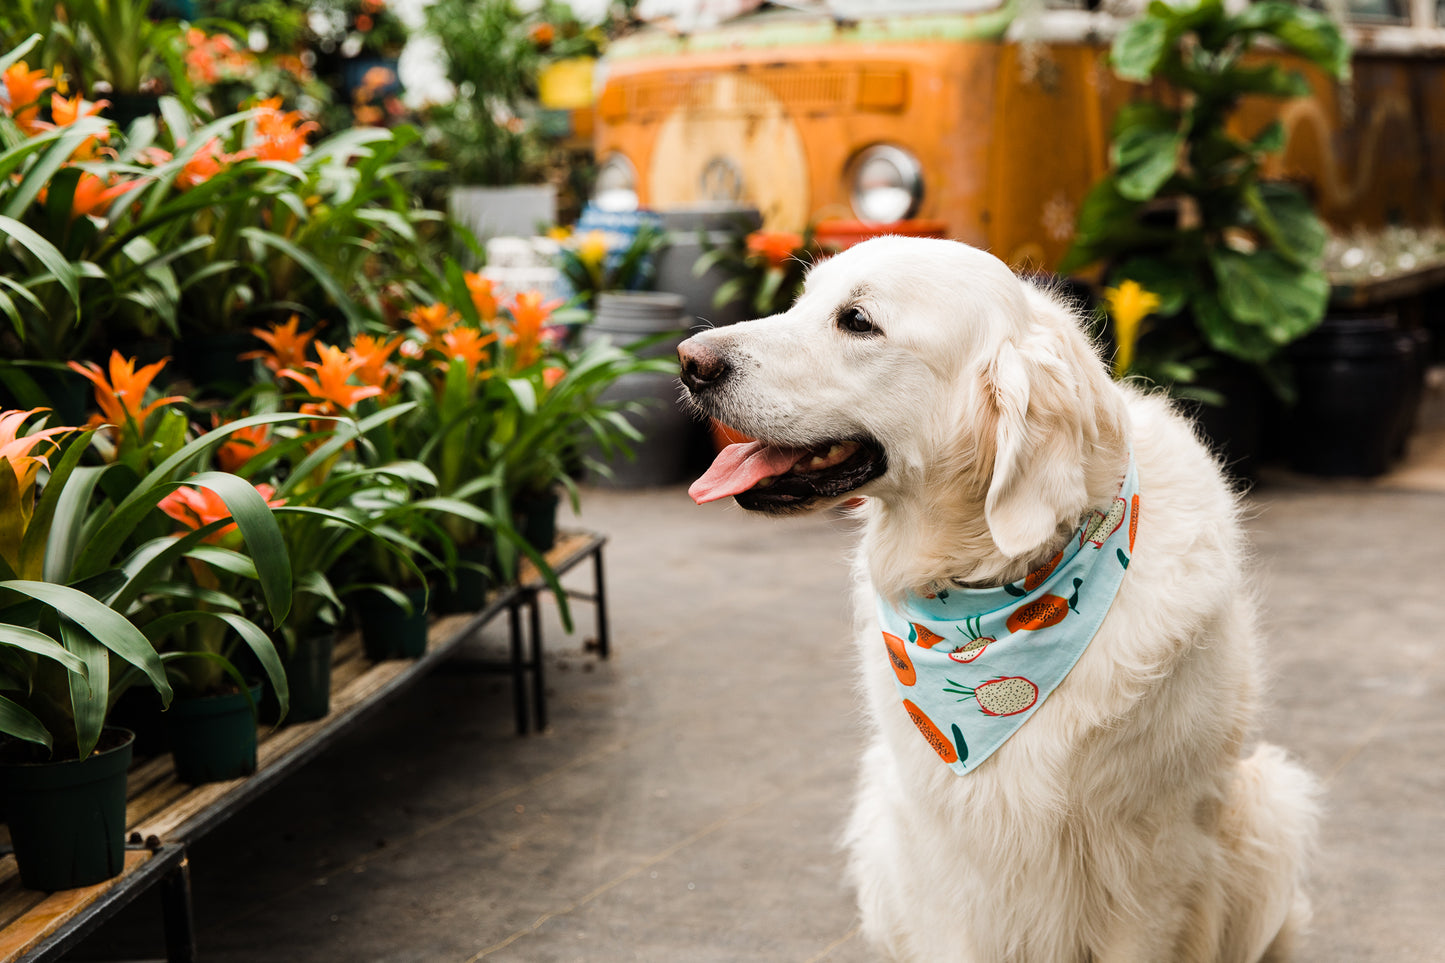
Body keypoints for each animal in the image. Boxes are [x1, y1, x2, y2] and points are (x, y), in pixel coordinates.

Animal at [676, 238, 1323, 960]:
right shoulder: (950, 860)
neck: (1002, 592)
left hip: (1269, 801)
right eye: (801, 300)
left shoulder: (1150, 859)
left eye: (857, 321)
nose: (688, 359)